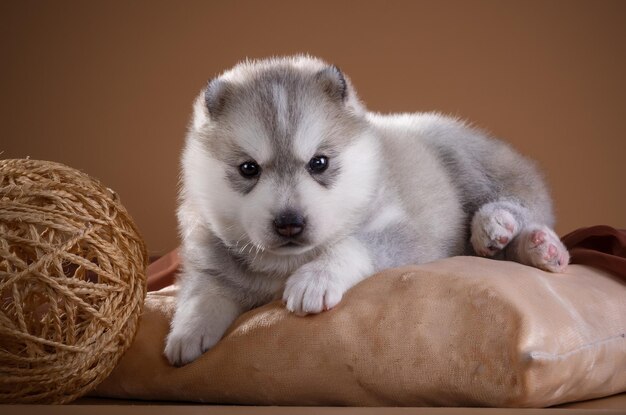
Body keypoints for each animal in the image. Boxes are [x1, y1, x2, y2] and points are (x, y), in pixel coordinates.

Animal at [163, 56, 568, 368]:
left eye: (319, 163)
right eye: (248, 169)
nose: (289, 223)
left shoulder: (404, 233)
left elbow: (352, 245)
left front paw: (317, 277)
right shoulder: (209, 253)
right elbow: (202, 289)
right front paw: (188, 330)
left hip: (466, 160)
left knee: (522, 201)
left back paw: (502, 226)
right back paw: (538, 248)